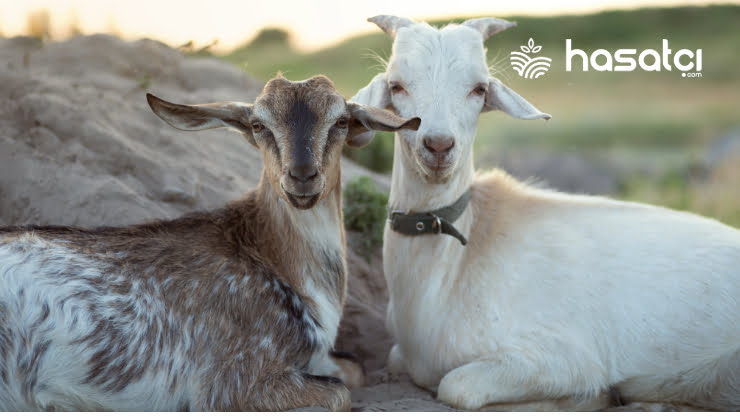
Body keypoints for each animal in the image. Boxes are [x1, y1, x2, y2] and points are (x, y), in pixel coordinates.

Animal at [0, 74, 420, 410]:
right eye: (258, 124)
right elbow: (339, 393)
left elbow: (355, 370)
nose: (302, 175)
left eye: (341, 121)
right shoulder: (232, 382)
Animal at [352, 15, 740, 410]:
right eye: (397, 86)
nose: (439, 145)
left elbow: (456, 386)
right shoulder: (402, 354)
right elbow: (397, 361)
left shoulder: (562, 358)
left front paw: (589, 398)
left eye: (479, 89)